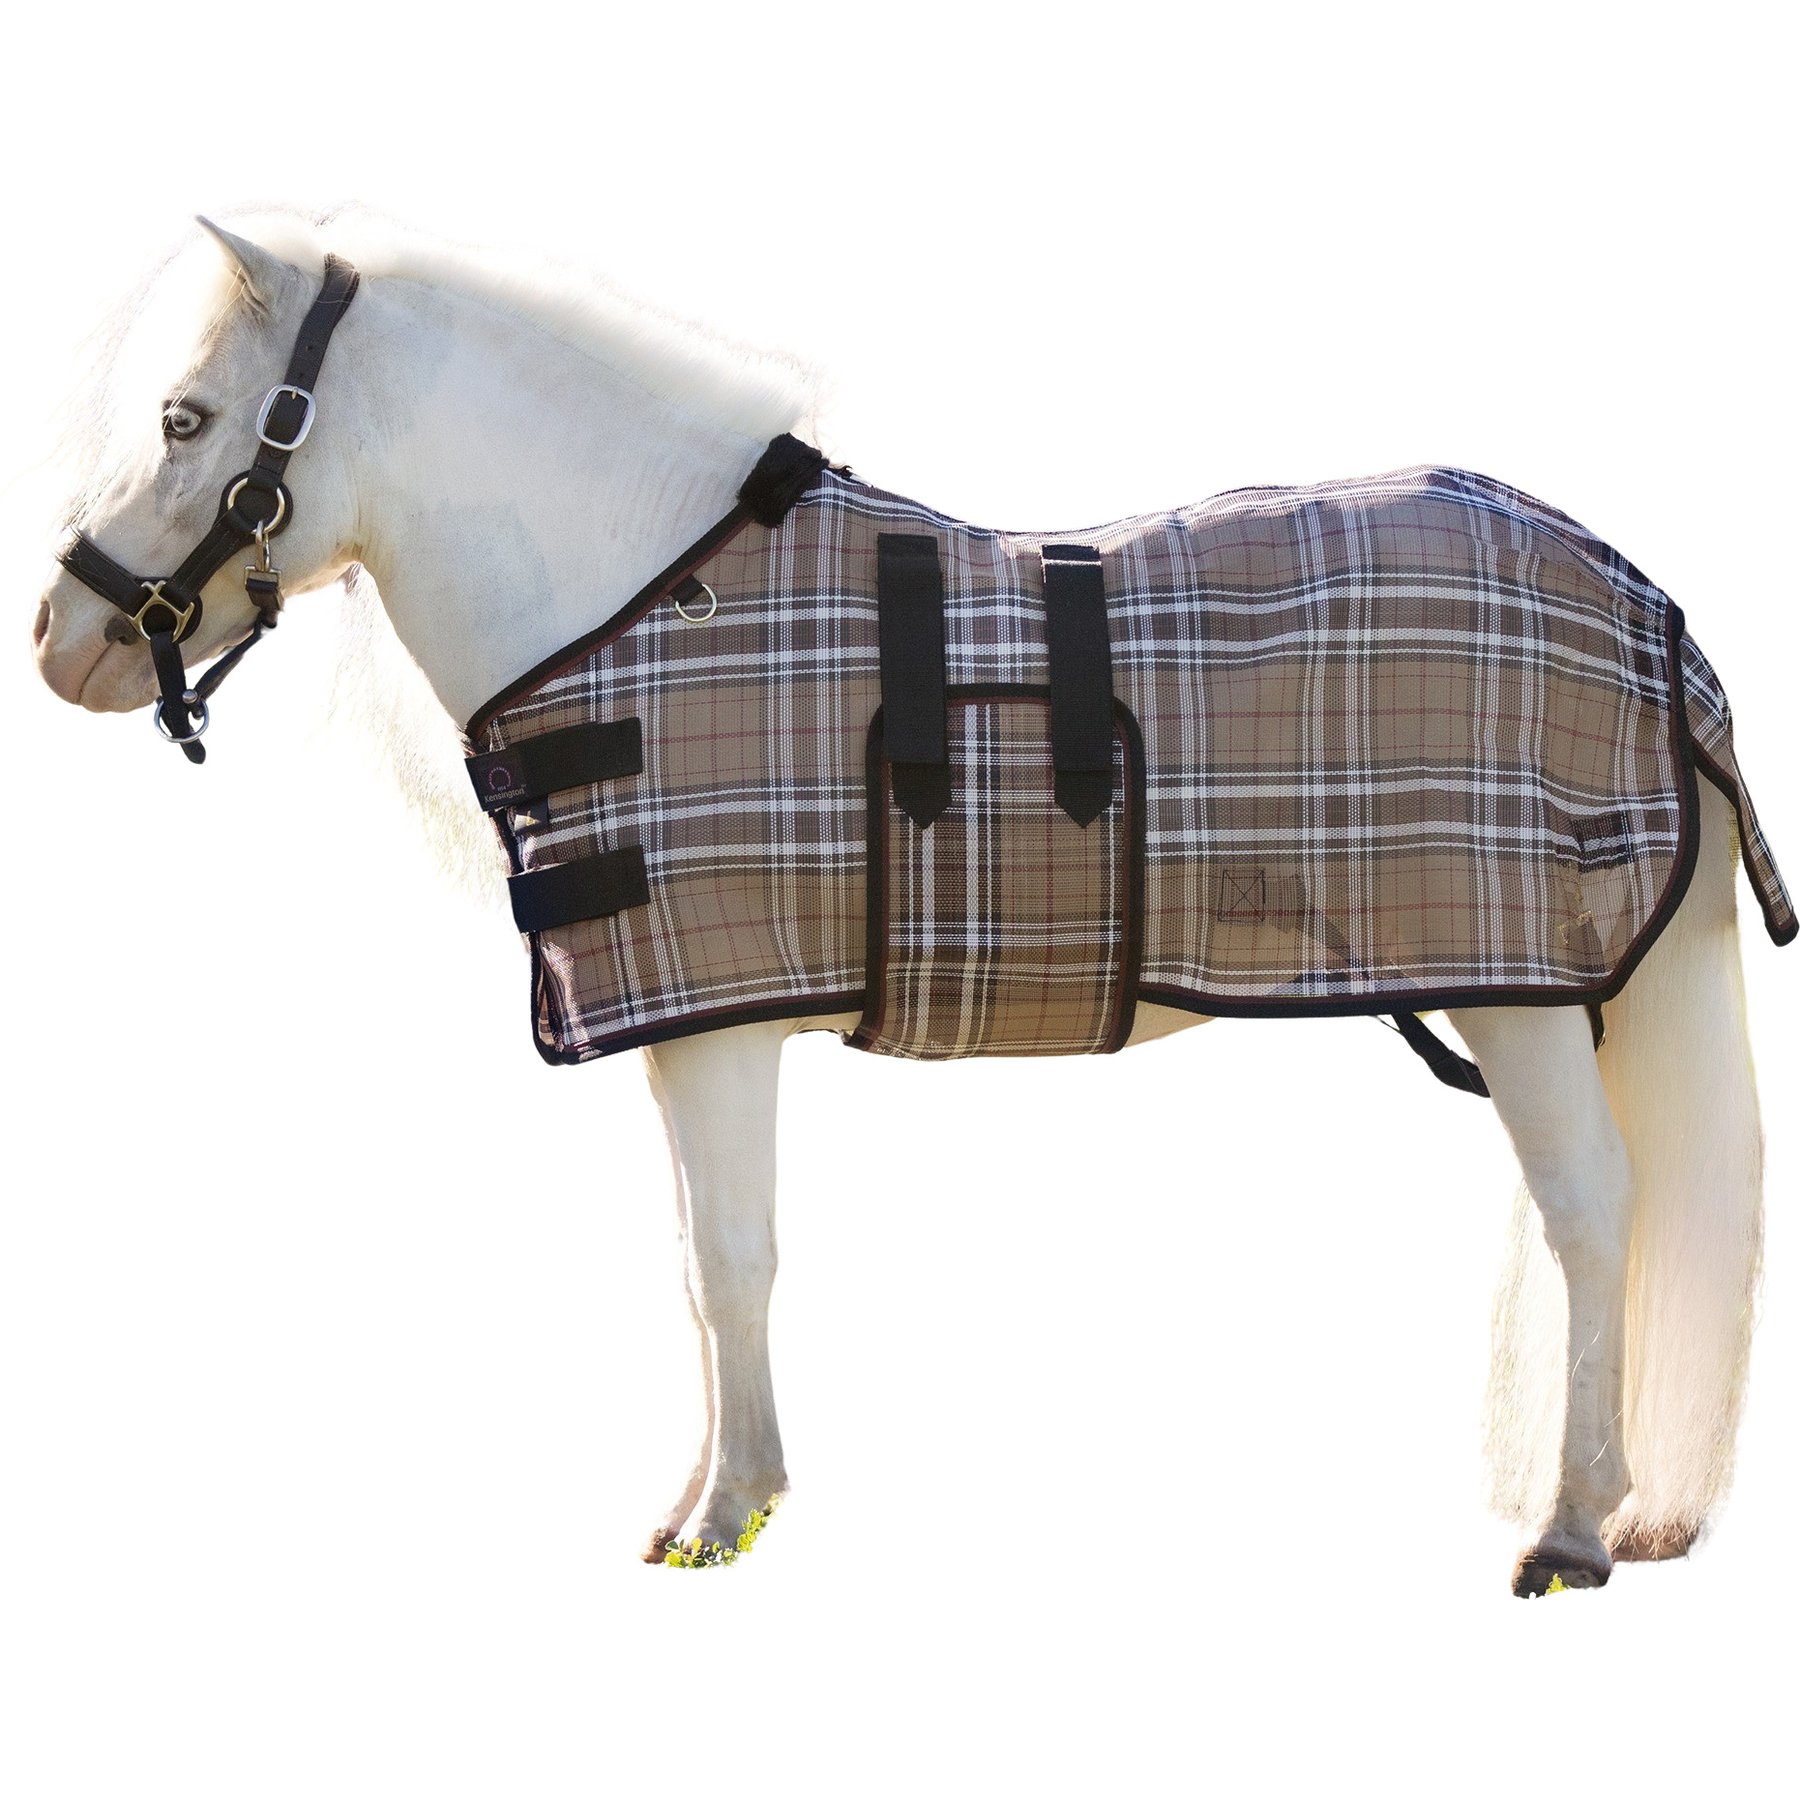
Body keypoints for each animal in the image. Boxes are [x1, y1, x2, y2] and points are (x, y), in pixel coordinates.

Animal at [31, 210, 1789, 1595]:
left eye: (187, 416)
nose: (63, 639)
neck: (643, 599)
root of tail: (1642, 599)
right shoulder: (689, 1031)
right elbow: (698, 1265)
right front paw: (715, 1498)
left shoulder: (720, 1029)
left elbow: (733, 1259)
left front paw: (721, 1524)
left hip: (1522, 993)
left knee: (1594, 1216)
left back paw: (1570, 1529)